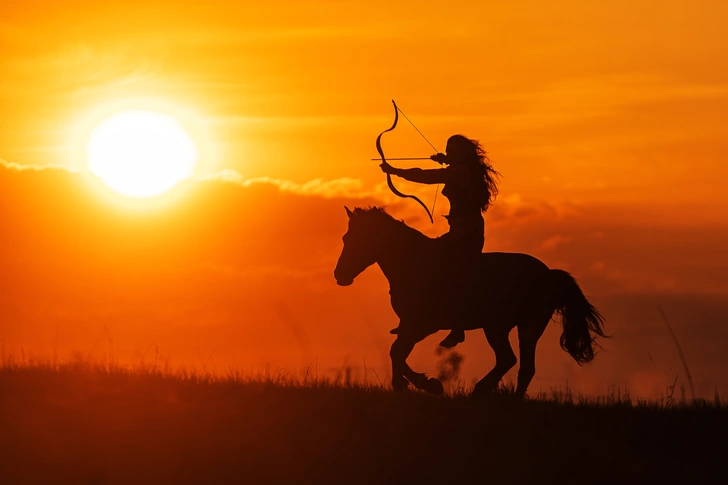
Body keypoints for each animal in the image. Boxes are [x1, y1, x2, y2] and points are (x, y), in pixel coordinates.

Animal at [332, 204, 604, 398]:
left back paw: (484, 391)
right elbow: (396, 351)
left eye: (357, 239)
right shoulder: (408, 325)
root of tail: (549, 274)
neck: (415, 263)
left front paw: (429, 385)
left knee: (512, 361)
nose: (339, 275)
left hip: (511, 327)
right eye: (345, 238)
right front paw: (402, 384)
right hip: (514, 328)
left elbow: (397, 352)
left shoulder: (422, 326)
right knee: (521, 365)